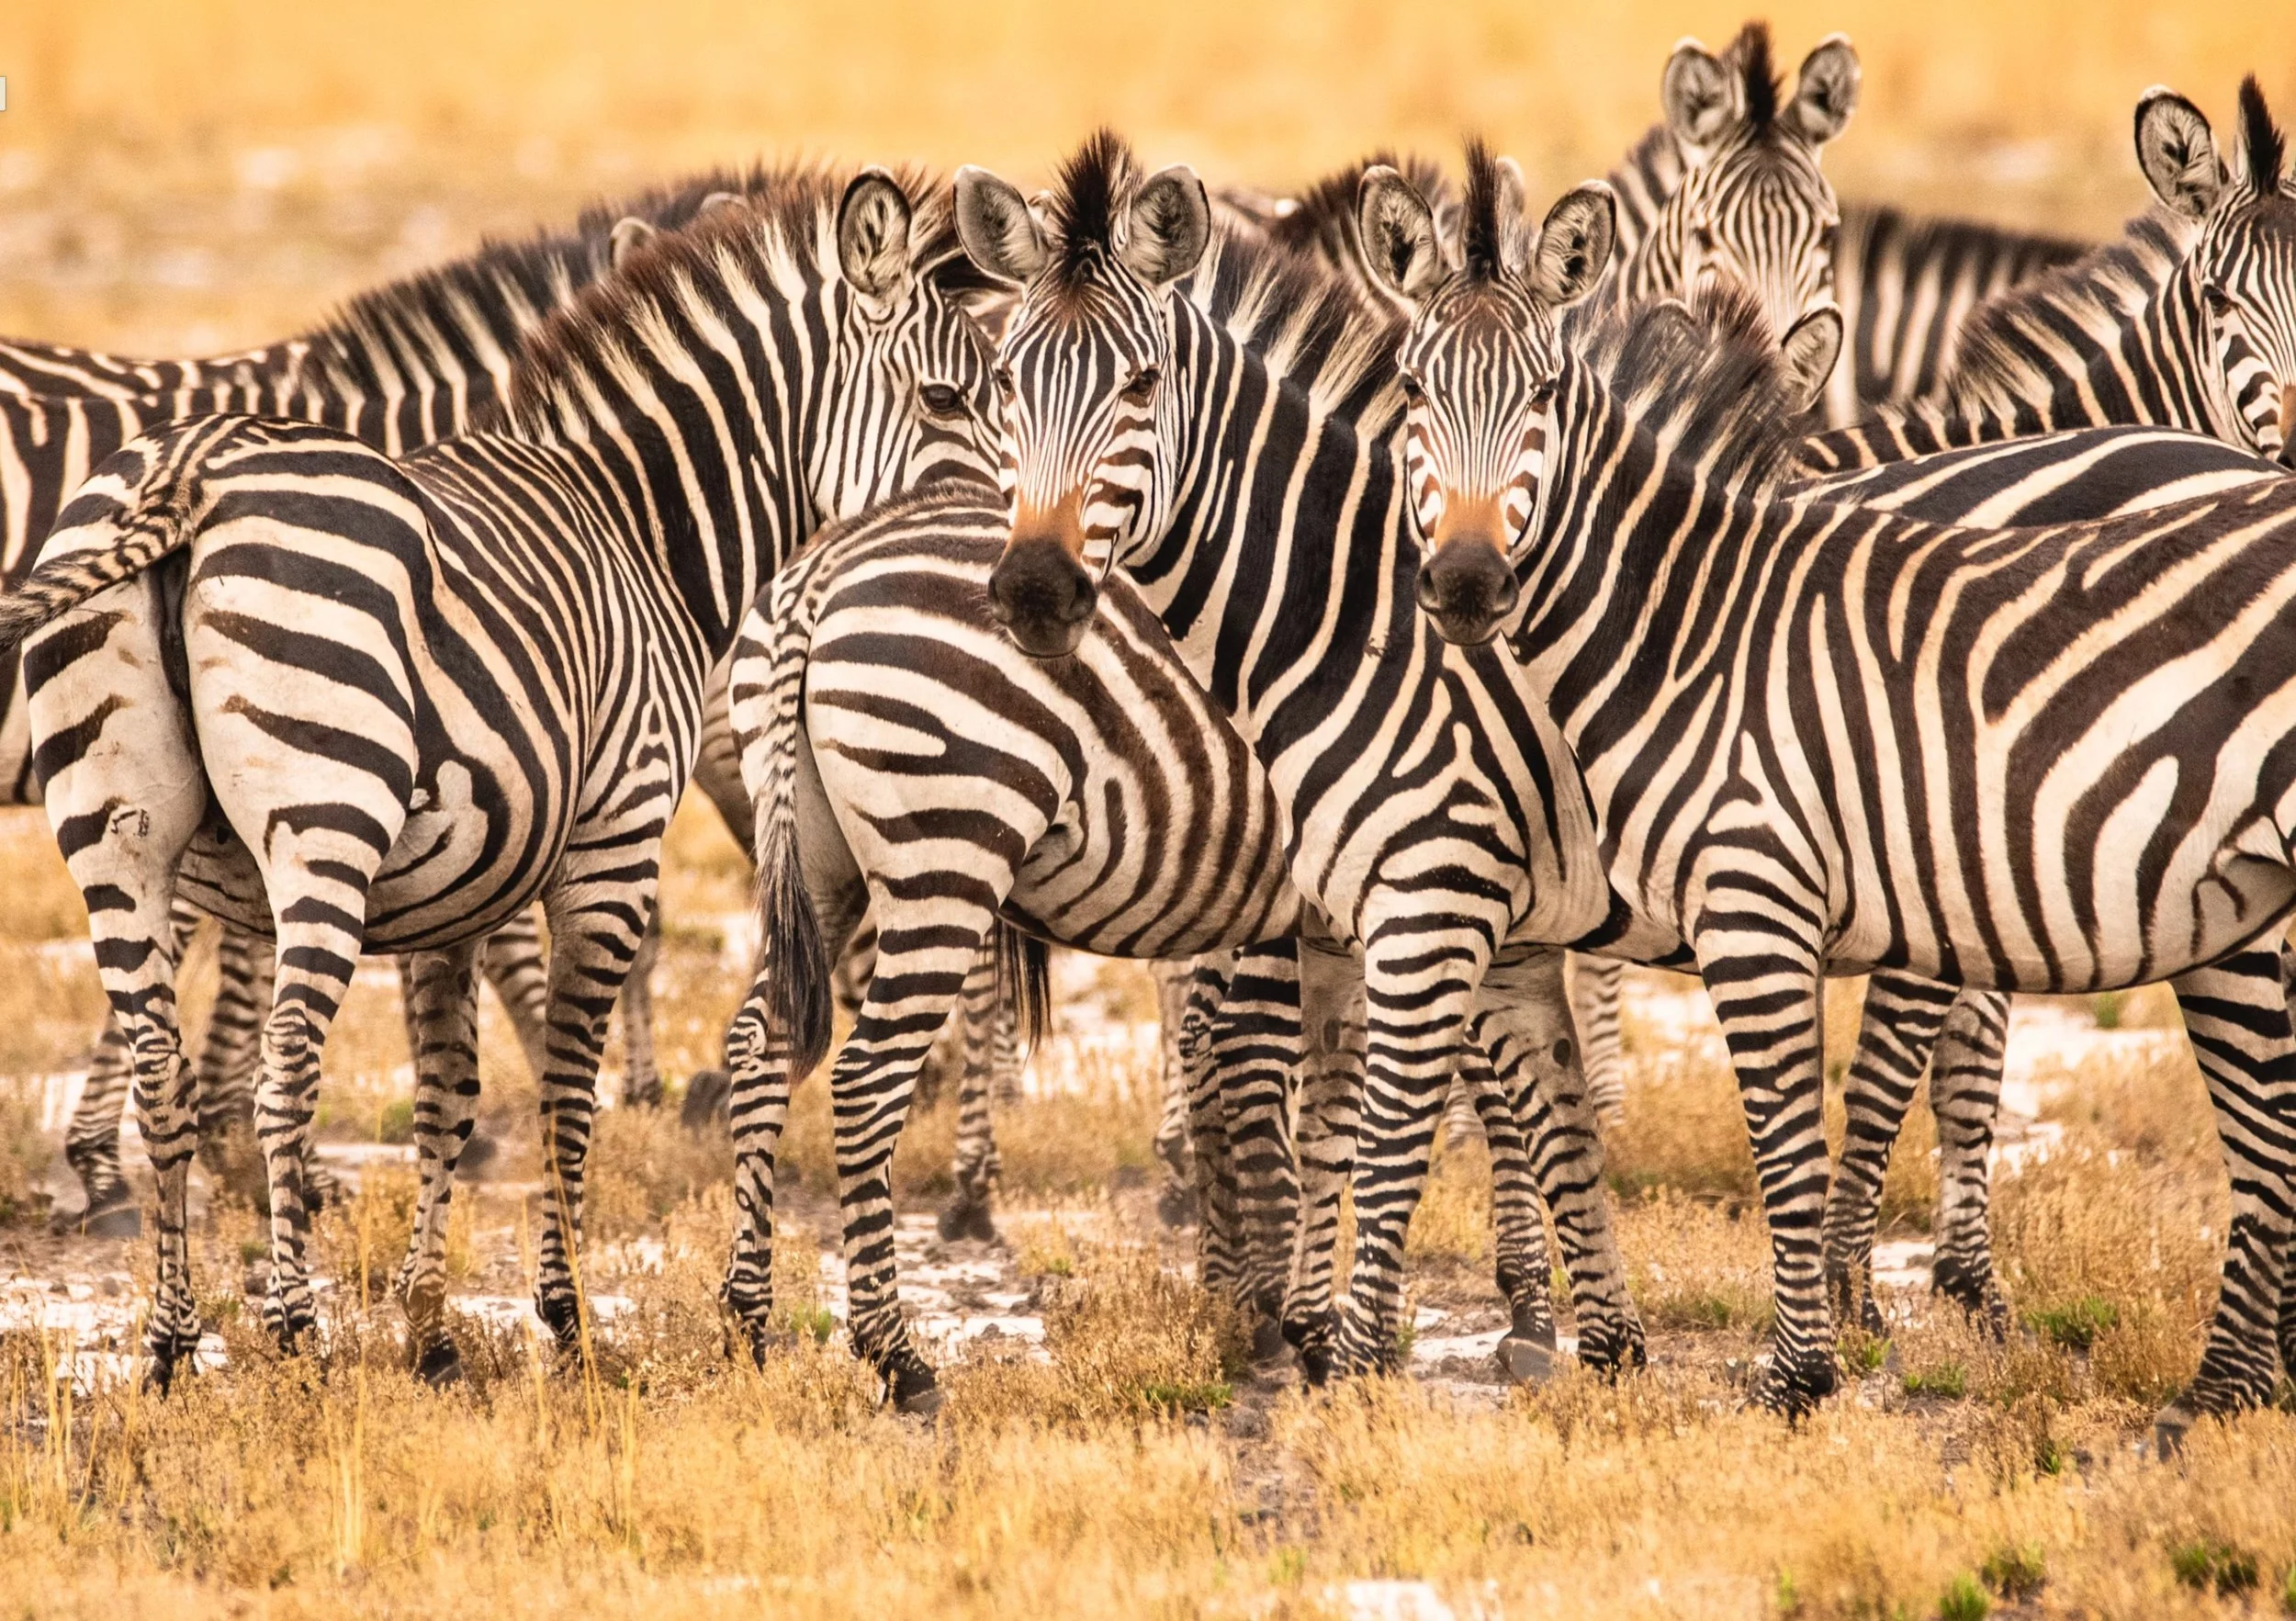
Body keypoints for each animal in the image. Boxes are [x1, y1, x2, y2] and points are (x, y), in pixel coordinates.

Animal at [0, 166, 1000, 1390]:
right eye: (950, 398)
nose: (1017, 560)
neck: (635, 528)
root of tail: (189, 467)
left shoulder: (453, 893)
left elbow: (449, 1098)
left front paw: (430, 1329)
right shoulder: (613, 845)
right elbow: (565, 1087)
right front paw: (569, 1324)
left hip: (116, 836)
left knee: (162, 1073)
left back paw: (169, 1345)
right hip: (323, 823)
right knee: (287, 1074)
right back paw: (294, 1333)